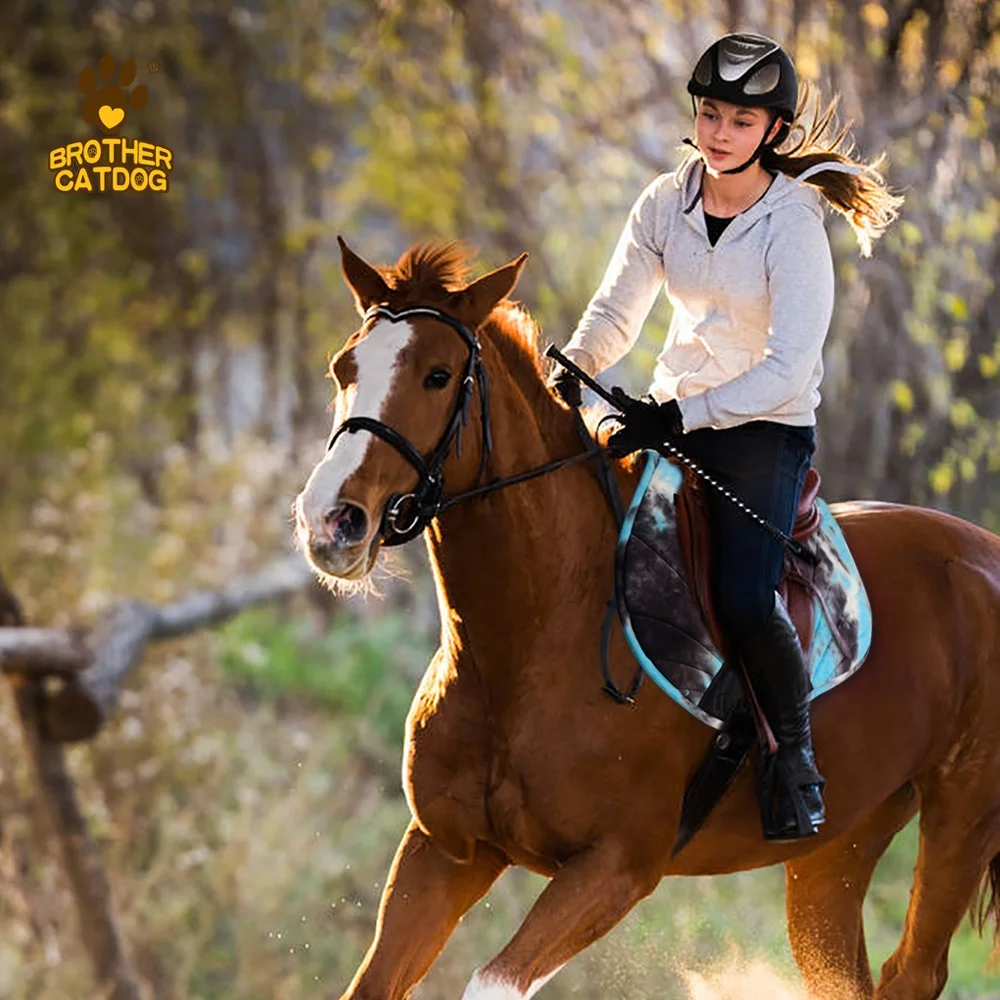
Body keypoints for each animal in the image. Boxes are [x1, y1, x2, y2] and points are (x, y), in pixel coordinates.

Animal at [294, 239, 1000, 1000]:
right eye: (344, 368)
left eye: (437, 375)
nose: (331, 521)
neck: (532, 640)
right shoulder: (445, 852)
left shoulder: (617, 868)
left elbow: (492, 982)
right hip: (839, 848)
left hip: (962, 815)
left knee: (915, 969)